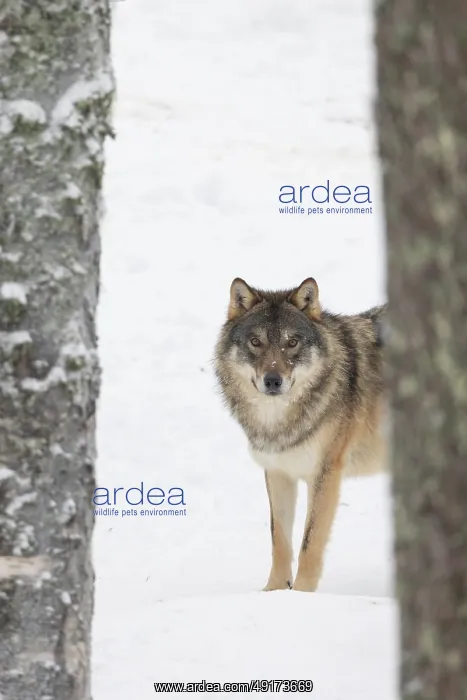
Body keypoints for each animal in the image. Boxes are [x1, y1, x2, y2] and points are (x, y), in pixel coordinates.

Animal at [214, 277, 388, 593]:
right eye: (256, 342)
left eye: (291, 342)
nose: (273, 381)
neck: (278, 422)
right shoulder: (278, 472)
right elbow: (279, 540)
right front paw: (274, 592)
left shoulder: (325, 474)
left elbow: (310, 541)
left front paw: (303, 595)